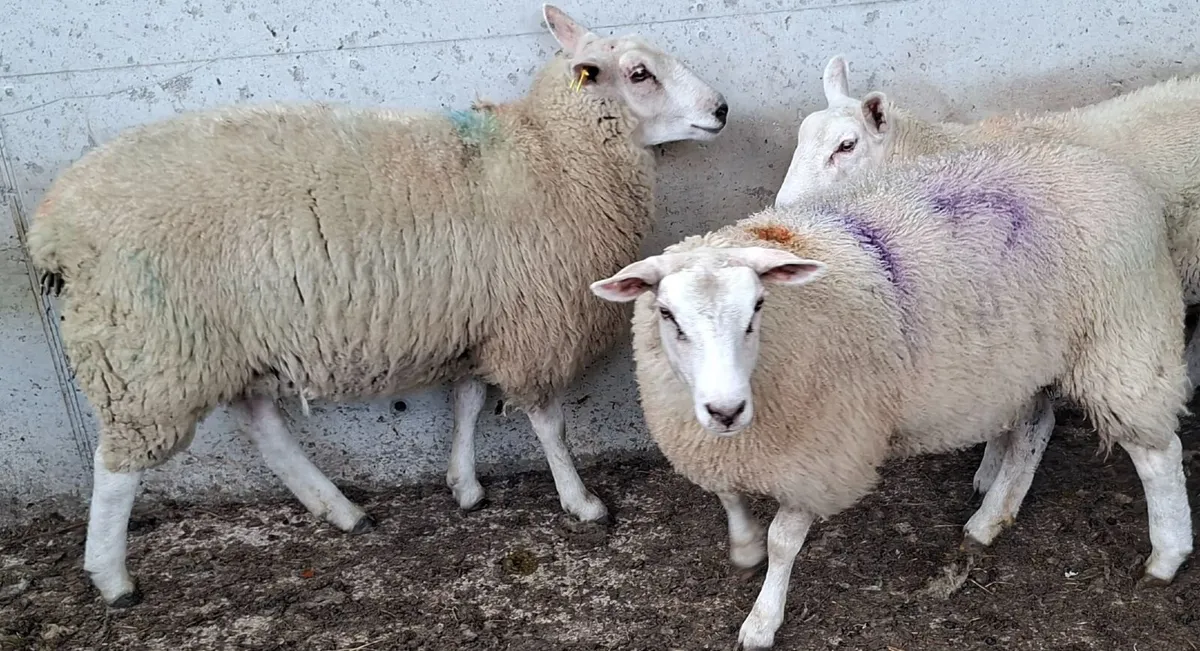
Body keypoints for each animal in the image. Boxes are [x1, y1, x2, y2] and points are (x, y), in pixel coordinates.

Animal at [25, 3, 729, 607]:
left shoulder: (479, 316)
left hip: (220, 341)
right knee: (117, 466)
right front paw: (581, 502)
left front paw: (465, 486)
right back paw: (112, 578)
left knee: (265, 430)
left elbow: (468, 402)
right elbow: (547, 423)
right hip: (145, 350)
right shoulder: (531, 323)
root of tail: (53, 228)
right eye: (639, 74)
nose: (722, 109)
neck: (553, 154)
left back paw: (341, 511)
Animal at [591, 139, 1194, 650]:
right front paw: (743, 548)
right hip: (1022, 357)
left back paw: (1166, 556)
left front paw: (762, 621)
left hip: (1122, 338)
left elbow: (785, 542)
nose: (726, 409)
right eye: (668, 315)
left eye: (758, 307)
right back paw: (988, 522)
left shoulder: (823, 451)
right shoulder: (716, 437)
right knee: (1034, 428)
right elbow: (728, 496)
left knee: (1158, 454)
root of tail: (1110, 168)